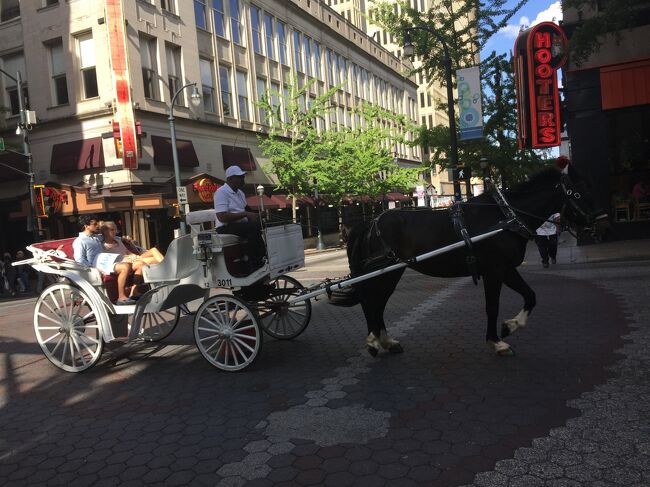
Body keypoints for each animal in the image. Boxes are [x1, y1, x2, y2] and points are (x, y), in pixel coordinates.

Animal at [336, 162, 604, 356]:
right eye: (579, 193)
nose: (601, 222)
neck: (505, 217)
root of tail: (369, 223)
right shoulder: (494, 271)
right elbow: (492, 306)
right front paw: (497, 341)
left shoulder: (506, 269)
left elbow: (530, 296)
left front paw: (509, 327)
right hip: (385, 273)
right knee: (371, 302)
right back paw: (374, 341)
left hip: (392, 272)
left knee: (377, 303)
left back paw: (385, 341)